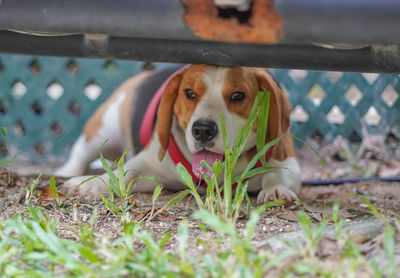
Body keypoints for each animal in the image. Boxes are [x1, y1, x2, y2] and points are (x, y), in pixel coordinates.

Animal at [59, 65, 302, 204]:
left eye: (238, 95)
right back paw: (68, 170)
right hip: (104, 128)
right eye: (190, 93)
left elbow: (278, 174)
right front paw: (93, 184)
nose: (203, 130)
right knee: (80, 151)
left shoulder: (287, 159)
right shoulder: (149, 164)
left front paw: (276, 190)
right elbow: (123, 173)